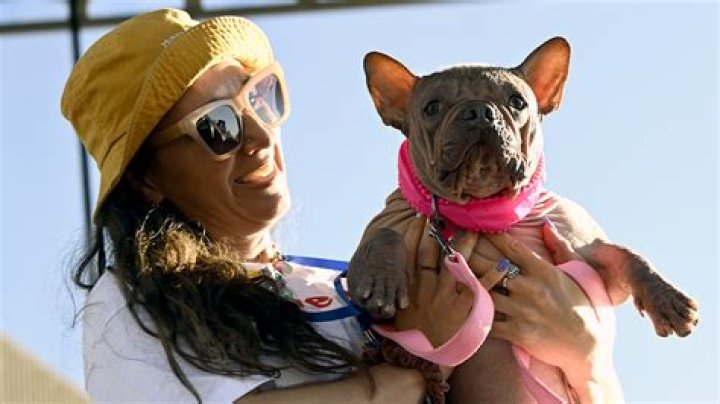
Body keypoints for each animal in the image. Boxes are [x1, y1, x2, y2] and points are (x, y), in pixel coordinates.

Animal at [347, 37, 699, 402]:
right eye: (432, 107)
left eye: (517, 102)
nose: (478, 111)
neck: (487, 211)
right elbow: (384, 235)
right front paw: (380, 283)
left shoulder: (588, 256)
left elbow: (627, 255)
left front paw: (669, 301)